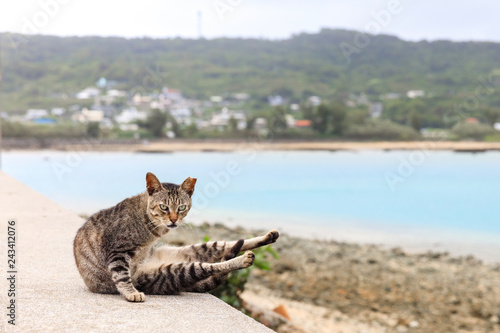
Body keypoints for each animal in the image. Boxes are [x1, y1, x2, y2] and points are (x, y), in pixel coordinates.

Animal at [73, 171, 282, 300]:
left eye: (181, 207)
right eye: (164, 207)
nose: (173, 220)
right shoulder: (118, 251)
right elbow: (122, 276)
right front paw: (131, 293)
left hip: (194, 251)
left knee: (224, 247)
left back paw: (267, 238)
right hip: (175, 272)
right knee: (209, 267)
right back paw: (243, 259)